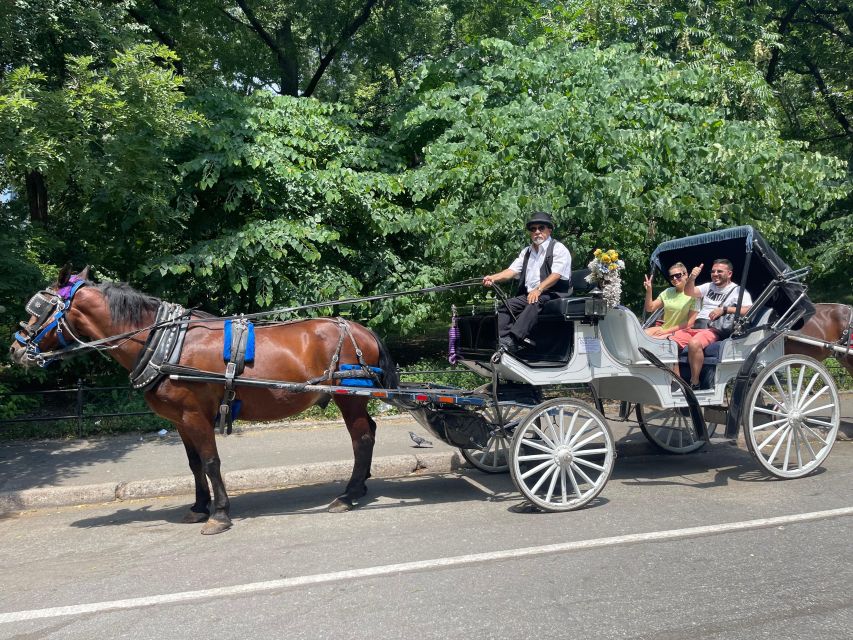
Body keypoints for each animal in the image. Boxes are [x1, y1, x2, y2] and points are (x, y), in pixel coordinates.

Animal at [8, 266, 400, 536]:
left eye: (39, 308)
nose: (15, 349)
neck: (165, 342)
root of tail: (361, 329)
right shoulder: (180, 420)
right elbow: (194, 464)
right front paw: (199, 506)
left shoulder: (196, 415)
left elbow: (211, 462)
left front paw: (220, 514)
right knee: (369, 432)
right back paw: (360, 486)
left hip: (350, 399)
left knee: (362, 438)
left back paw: (348, 495)